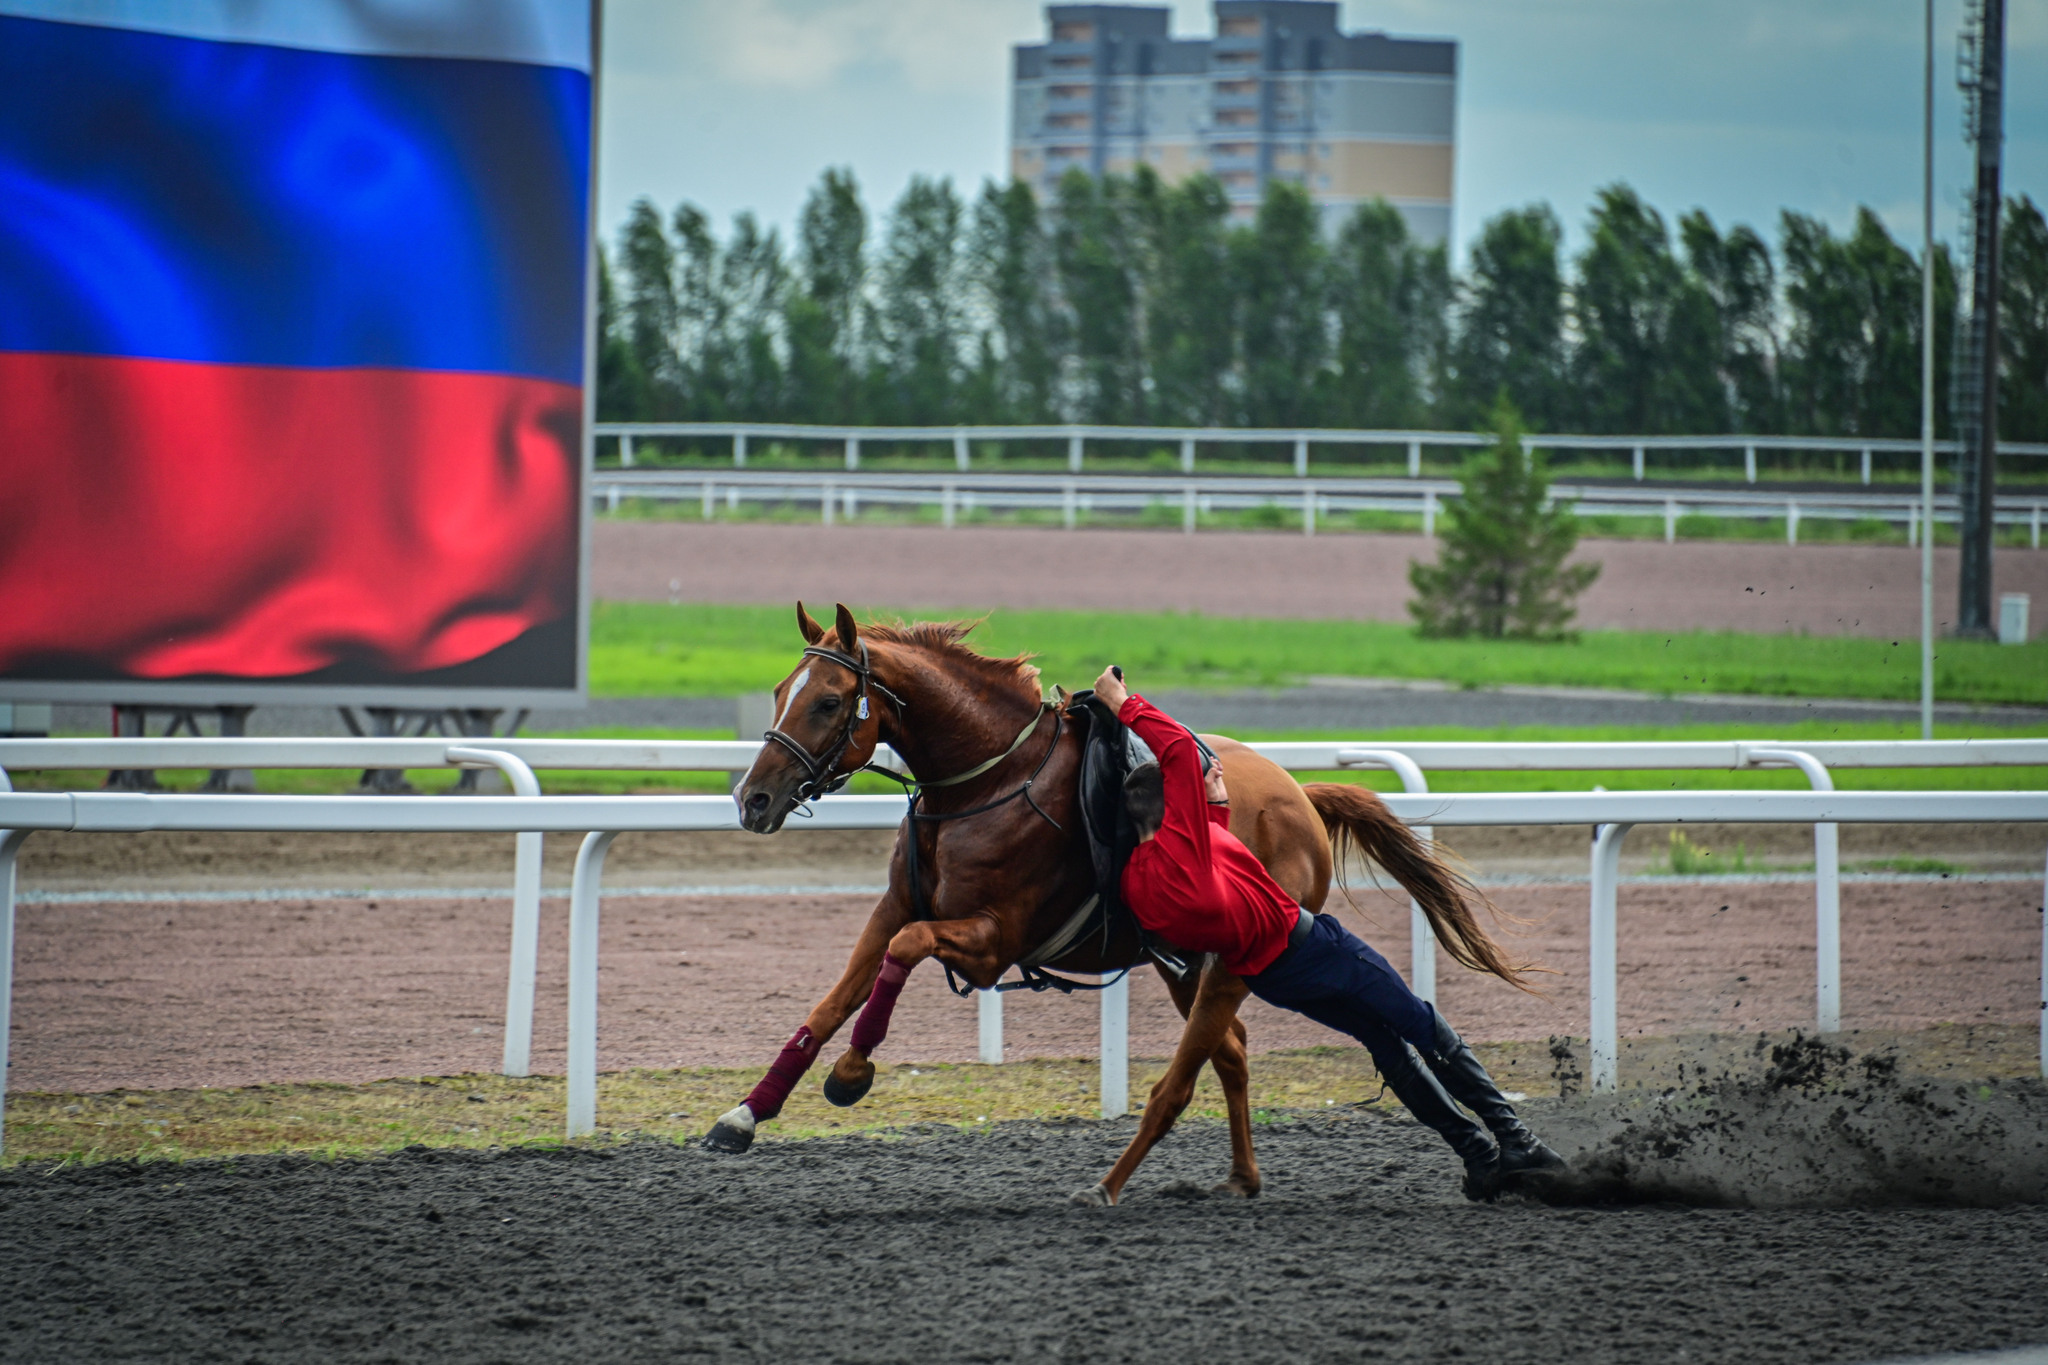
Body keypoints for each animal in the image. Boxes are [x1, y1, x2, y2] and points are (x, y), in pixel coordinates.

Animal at [704, 601, 1523, 1203]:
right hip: (1182, 958)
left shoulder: (993, 939)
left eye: (829, 701)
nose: (754, 799)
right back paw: (1241, 1175)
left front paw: (852, 1073)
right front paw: (745, 1113)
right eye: (779, 693)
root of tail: (1300, 792)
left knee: (1225, 1047)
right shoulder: (894, 909)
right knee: (1232, 1050)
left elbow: (899, 962)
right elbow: (829, 1003)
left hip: (1239, 956)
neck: (984, 783)